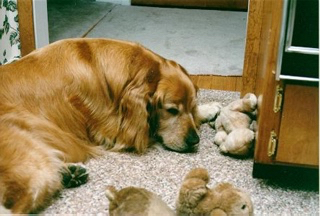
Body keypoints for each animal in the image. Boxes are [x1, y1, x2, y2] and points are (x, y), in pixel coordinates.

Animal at [0, 37, 220, 213]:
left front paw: (209, 108)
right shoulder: (118, 132)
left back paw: (71, 173)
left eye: (190, 106)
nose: (194, 140)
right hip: (33, 161)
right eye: (172, 110)